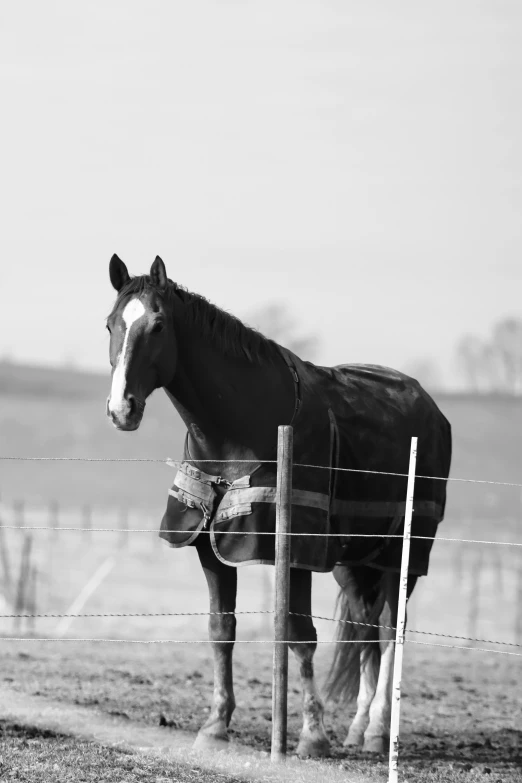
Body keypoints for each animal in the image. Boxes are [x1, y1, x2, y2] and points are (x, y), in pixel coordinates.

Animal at [103, 254, 448, 756]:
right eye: (111, 324)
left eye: (159, 324)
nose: (121, 409)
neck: (239, 436)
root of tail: (432, 410)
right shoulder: (210, 549)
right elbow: (220, 631)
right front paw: (215, 726)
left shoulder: (296, 554)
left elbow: (299, 636)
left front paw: (311, 737)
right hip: (352, 563)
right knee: (366, 631)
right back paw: (358, 729)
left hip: (401, 556)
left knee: (389, 633)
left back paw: (379, 731)